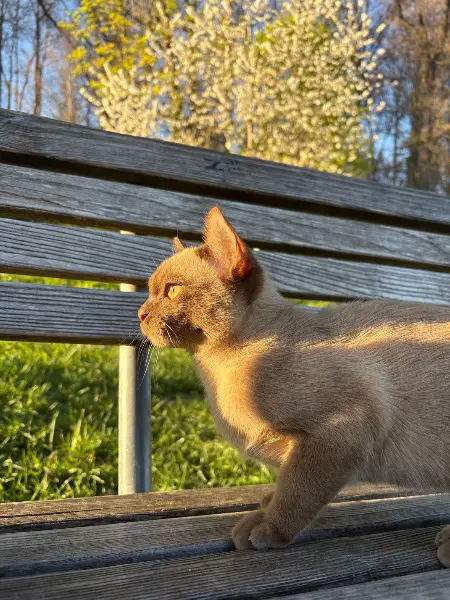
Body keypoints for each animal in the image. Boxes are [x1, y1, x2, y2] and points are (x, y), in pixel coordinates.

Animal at [138, 206, 450, 566]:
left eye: (172, 290)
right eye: (150, 291)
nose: (140, 313)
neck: (215, 375)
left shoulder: (337, 434)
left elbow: (296, 493)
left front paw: (267, 527)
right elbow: (285, 482)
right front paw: (266, 504)